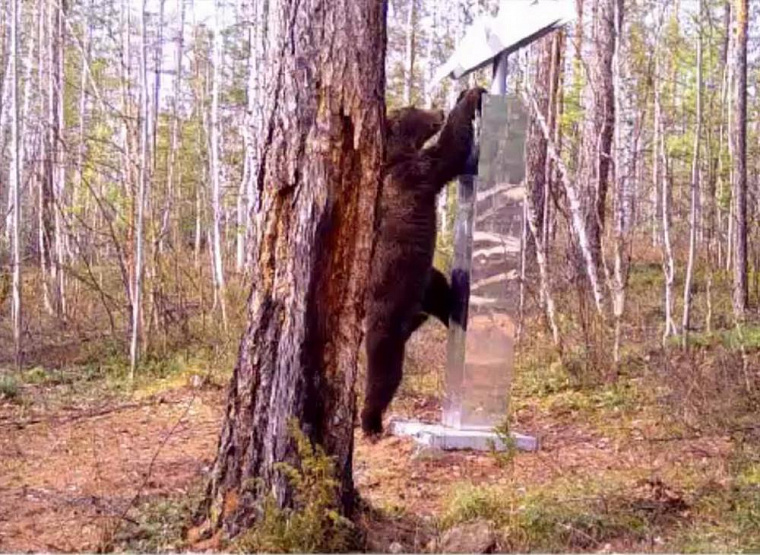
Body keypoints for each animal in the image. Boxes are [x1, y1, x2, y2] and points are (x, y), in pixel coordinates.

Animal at [361, 87, 486, 436]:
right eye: (416, 108)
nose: (439, 111)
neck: (397, 155)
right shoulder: (416, 173)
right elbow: (449, 152)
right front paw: (471, 96)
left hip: (422, 281)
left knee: (441, 293)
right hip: (389, 303)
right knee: (384, 369)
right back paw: (370, 420)